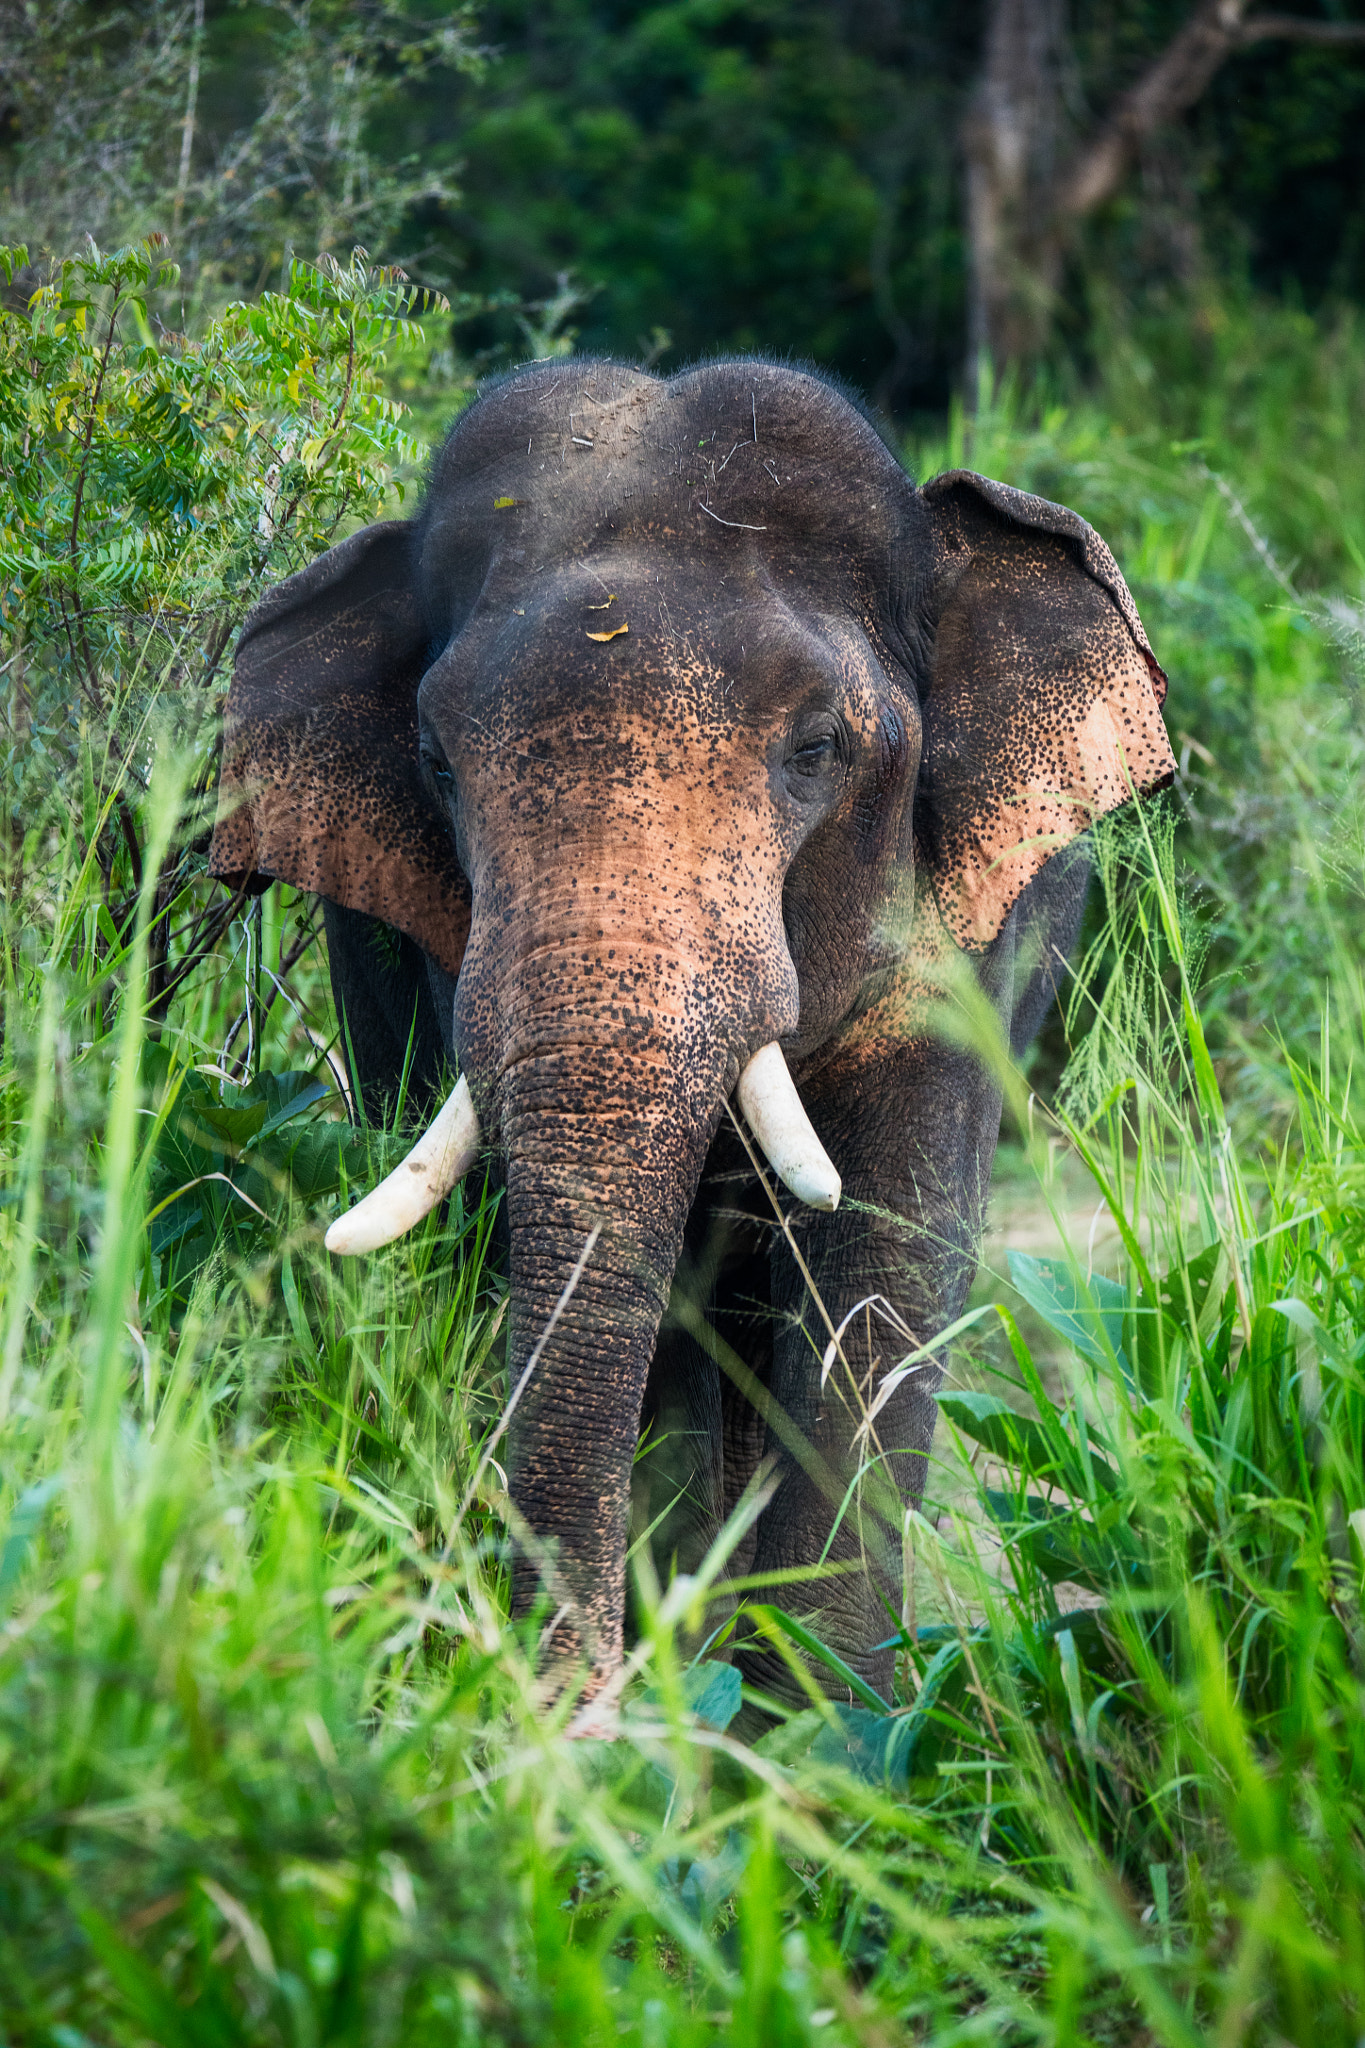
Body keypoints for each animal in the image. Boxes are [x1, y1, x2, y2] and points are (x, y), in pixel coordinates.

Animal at [209, 357, 1173, 1717]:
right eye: (435, 763)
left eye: (817, 748)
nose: (569, 1695)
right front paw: (676, 1705)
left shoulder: (956, 945)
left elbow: (880, 1273)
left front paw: (826, 1734)